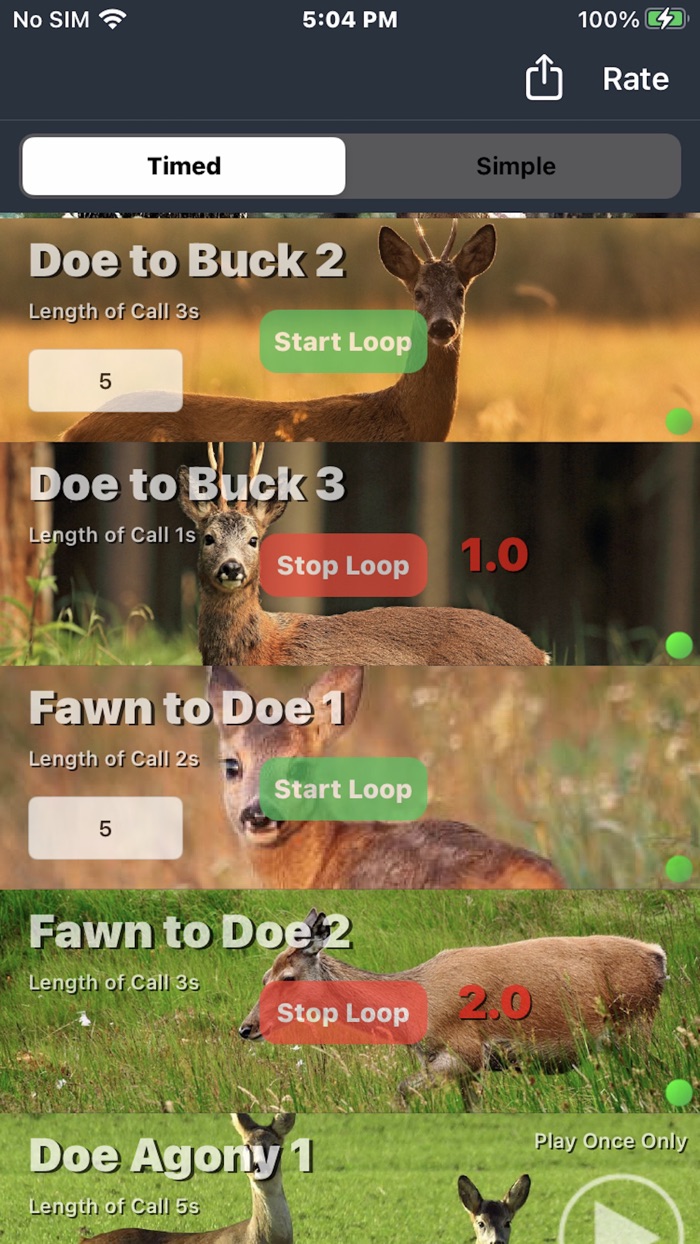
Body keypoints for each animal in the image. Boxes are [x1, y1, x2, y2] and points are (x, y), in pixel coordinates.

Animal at [238, 910, 668, 1109]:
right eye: (263, 975)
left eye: (287, 976)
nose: (246, 1027)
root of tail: (659, 956)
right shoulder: (468, 1069)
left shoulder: (464, 1052)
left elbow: (400, 1090)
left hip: (636, 1024)